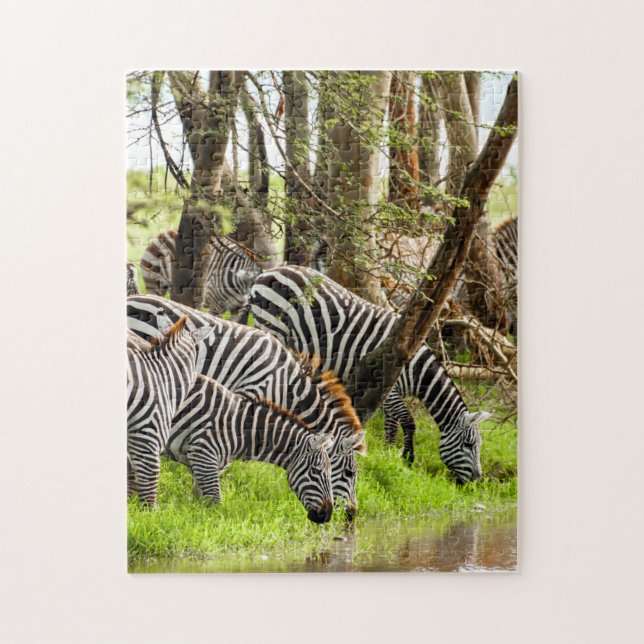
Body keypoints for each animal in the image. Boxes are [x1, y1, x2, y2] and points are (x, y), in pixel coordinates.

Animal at [167, 374, 335, 523]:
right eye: (316, 471)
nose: (327, 515)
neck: (241, 429)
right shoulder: (203, 455)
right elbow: (216, 506)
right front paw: (214, 526)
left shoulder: (207, 465)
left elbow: (200, 501)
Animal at [244, 266, 490, 482]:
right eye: (469, 445)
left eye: (478, 446)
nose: (476, 480)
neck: (417, 369)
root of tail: (269, 271)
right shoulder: (390, 387)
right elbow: (408, 421)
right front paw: (407, 458)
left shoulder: (389, 391)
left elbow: (391, 425)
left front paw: (388, 454)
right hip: (273, 326)